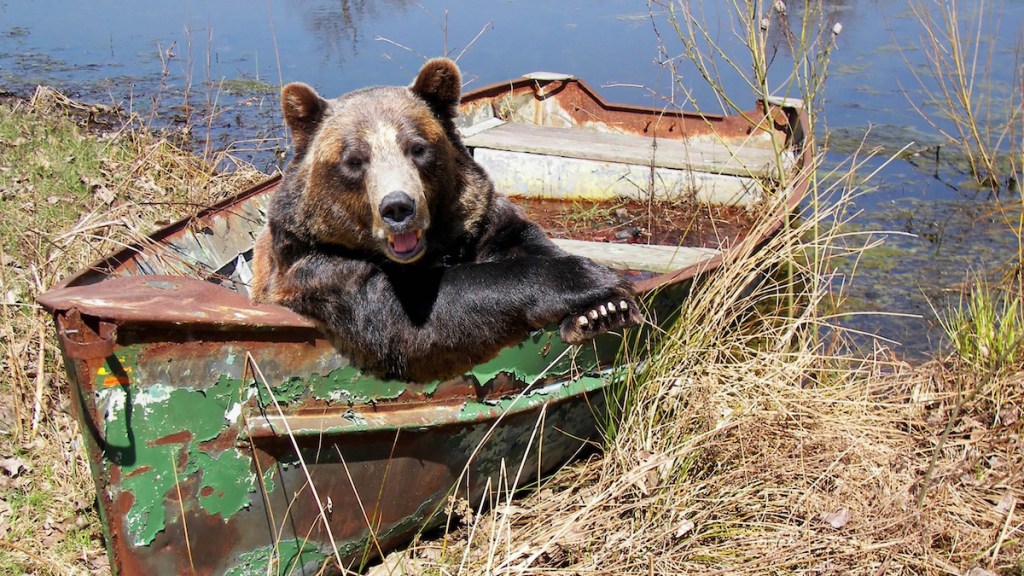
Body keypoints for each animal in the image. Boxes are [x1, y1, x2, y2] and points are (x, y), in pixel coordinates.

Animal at [251, 58, 638, 381]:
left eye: (418, 147)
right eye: (354, 159)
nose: (398, 208)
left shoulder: (477, 220)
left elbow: (523, 241)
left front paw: (601, 312)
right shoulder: (321, 268)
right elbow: (410, 317)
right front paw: (590, 278)